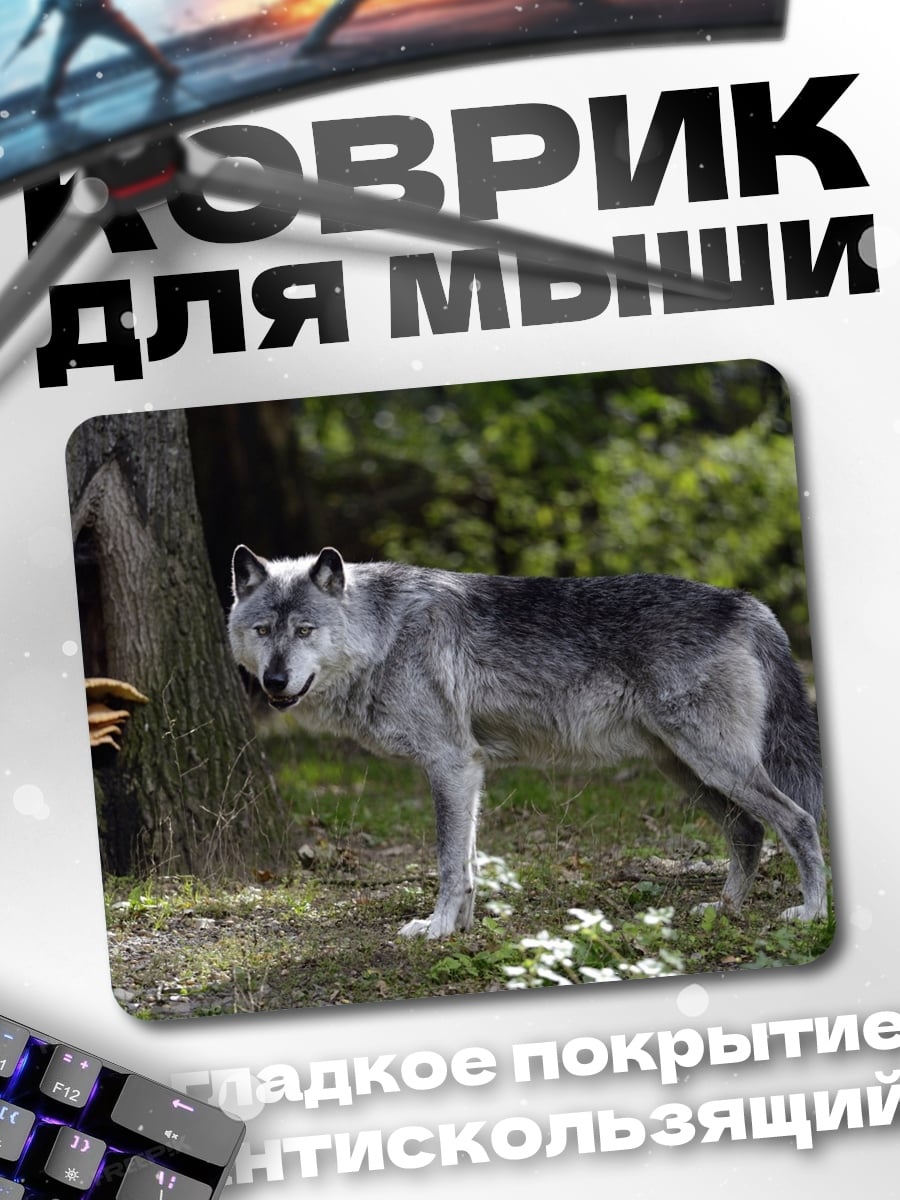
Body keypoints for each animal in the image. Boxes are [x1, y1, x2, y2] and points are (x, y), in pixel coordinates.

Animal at [228, 545, 826, 939]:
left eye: (305, 631)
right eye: (263, 631)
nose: (274, 682)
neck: (387, 635)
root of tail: (747, 603)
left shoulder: (451, 764)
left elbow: (449, 863)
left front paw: (437, 928)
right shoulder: (468, 772)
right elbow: (468, 864)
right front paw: (461, 927)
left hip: (715, 764)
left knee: (798, 822)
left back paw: (812, 914)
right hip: (687, 769)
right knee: (748, 831)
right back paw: (724, 909)